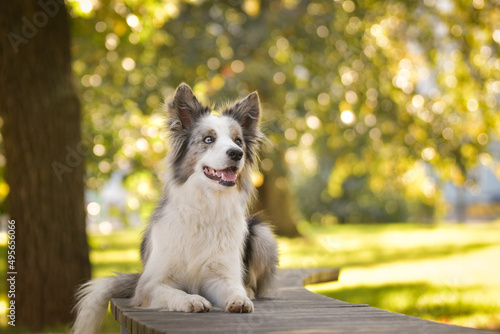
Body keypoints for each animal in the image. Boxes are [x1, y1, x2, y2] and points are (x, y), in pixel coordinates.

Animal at [72, 84, 280, 334]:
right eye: (208, 139)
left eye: (238, 141)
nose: (236, 154)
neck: (204, 207)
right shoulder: (150, 284)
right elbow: (173, 292)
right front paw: (191, 300)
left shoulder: (219, 275)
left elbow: (232, 287)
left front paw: (240, 298)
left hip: (262, 233)